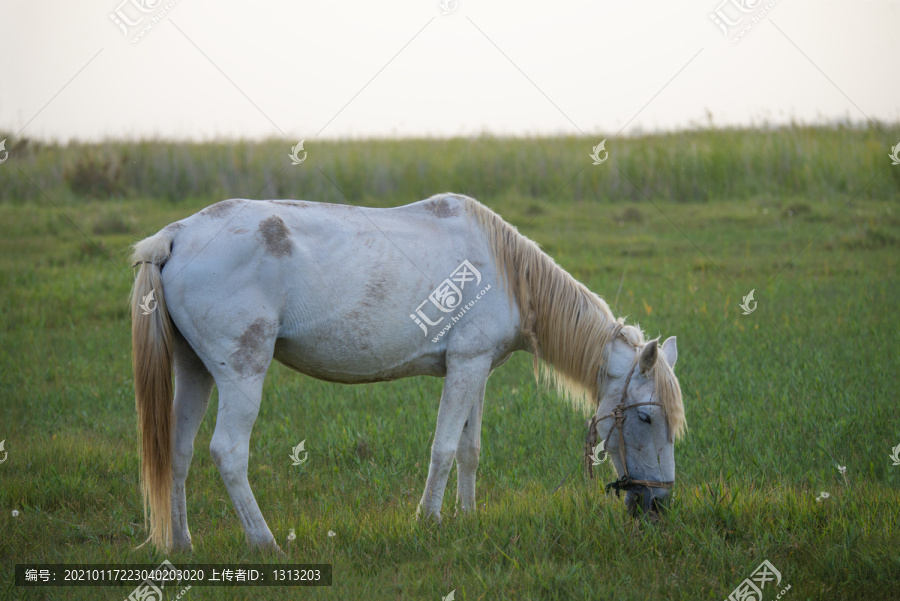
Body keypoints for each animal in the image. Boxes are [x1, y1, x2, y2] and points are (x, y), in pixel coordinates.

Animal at [130, 192, 684, 548]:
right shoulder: (464, 368)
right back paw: (266, 544)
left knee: (177, 451)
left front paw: (467, 517)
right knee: (227, 452)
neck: (505, 273)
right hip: (241, 375)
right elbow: (443, 449)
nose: (658, 506)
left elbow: (469, 451)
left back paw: (182, 544)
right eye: (646, 418)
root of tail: (175, 236)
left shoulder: (476, 371)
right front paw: (430, 521)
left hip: (196, 371)